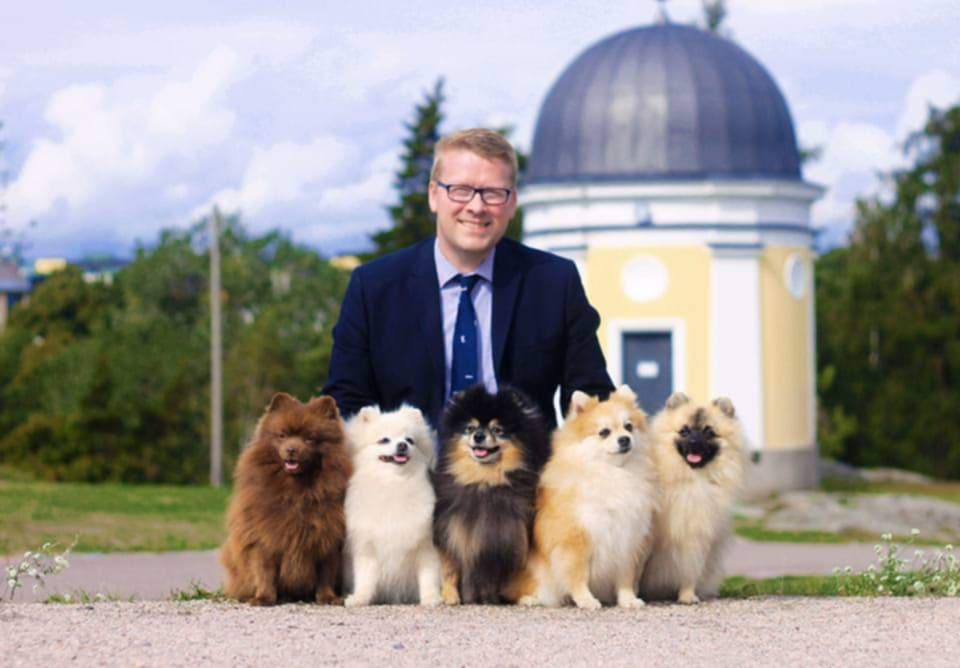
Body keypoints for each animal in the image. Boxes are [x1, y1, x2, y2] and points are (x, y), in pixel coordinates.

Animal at [220, 393, 352, 605]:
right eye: (282, 435)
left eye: (309, 439)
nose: (291, 449)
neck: (297, 492)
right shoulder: (264, 537)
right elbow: (264, 570)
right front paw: (264, 598)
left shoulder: (328, 538)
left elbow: (326, 573)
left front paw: (328, 597)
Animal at [342, 405, 441, 606]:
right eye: (384, 439)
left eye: (410, 440)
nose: (402, 445)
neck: (394, 483)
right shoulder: (367, 545)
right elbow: (364, 577)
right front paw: (360, 598)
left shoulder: (426, 545)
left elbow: (429, 575)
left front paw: (430, 598)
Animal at [433, 385, 547, 605]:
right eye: (470, 428)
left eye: (497, 430)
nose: (478, 436)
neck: (484, 481)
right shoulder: (450, 530)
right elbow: (450, 568)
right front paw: (450, 596)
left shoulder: (508, 537)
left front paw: (515, 597)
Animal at [507, 385, 656, 609]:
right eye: (604, 432)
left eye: (629, 427)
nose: (624, 439)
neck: (612, 472)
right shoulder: (575, 538)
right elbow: (577, 575)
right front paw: (586, 599)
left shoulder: (628, 539)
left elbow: (625, 577)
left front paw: (628, 600)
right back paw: (530, 599)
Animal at [638, 392, 747, 604]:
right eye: (685, 431)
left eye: (709, 432)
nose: (695, 442)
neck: (691, 480)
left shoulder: (697, 535)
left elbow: (690, 571)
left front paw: (687, 596)